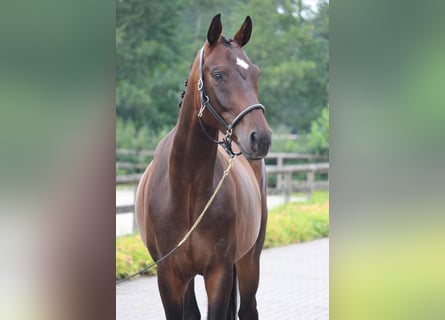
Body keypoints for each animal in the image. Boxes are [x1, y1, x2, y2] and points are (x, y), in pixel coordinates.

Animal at [135, 14, 270, 320]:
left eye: (256, 74)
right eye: (218, 74)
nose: (260, 138)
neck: (187, 192)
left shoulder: (219, 272)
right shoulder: (169, 276)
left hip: (249, 260)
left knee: (248, 308)